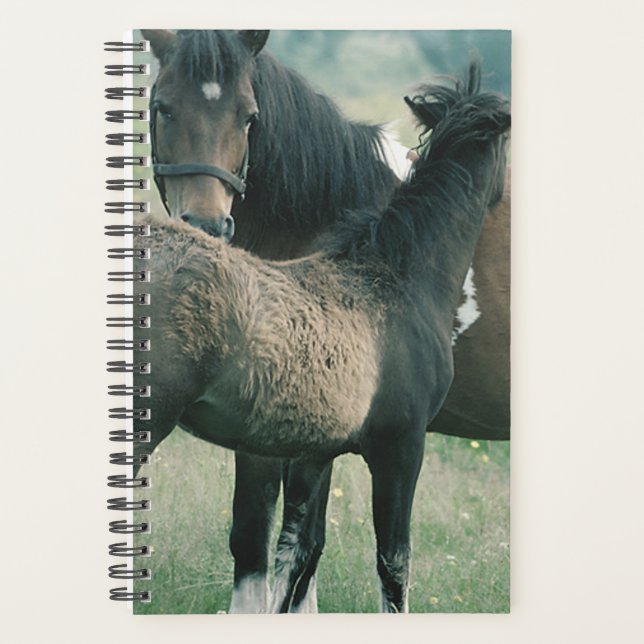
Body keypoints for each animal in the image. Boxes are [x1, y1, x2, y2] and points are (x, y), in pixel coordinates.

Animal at [139, 29, 510, 612]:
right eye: (162, 107)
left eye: (249, 115)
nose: (208, 222)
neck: (393, 272)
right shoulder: (396, 446)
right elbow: (381, 563)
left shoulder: (315, 448)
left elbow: (297, 557)